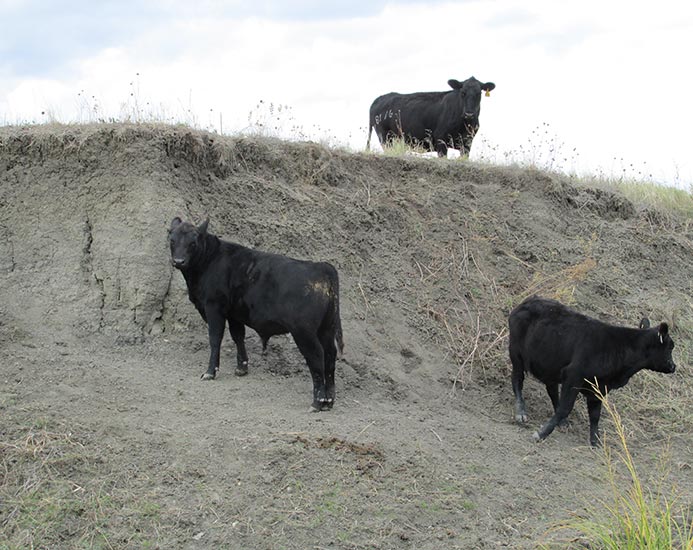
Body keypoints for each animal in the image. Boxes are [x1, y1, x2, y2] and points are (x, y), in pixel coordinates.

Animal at [170, 218, 344, 412]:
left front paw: (210, 372)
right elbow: (238, 336)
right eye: (172, 240)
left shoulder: (214, 307)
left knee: (317, 357)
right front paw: (242, 368)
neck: (210, 259)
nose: (178, 261)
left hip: (304, 332)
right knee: (330, 356)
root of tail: (321, 267)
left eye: (193, 243)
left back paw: (317, 402)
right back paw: (329, 401)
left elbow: (215, 339)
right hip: (326, 329)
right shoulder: (233, 314)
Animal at [364, 76, 494, 157]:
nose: (469, 113)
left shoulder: (467, 143)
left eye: (479, 93)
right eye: (463, 93)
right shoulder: (441, 139)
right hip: (385, 136)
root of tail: (379, 99)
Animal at [508, 298, 676, 448]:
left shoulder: (598, 387)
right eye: (670, 347)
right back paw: (521, 412)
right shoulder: (573, 376)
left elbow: (595, 415)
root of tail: (527, 301)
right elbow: (565, 408)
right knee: (517, 379)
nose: (673, 366)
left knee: (552, 390)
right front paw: (541, 434)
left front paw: (596, 441)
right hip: (516, 353)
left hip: (550, 366)